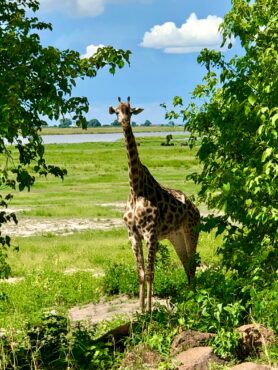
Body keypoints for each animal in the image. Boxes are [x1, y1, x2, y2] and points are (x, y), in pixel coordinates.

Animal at [108, 97, 200, 310]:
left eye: (130, 111)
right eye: (116, 111)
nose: (124, 121)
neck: (135, 188)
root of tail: (197, 211)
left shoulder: (150, 233)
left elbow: (150, 273)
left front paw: (150, 311)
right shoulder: (133, 235)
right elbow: (141, 273)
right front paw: (140, 310)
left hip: (192, 231)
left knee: (192, 264)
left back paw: (193, 297)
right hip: (175, 236)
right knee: (186, 263)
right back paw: (189, 295)